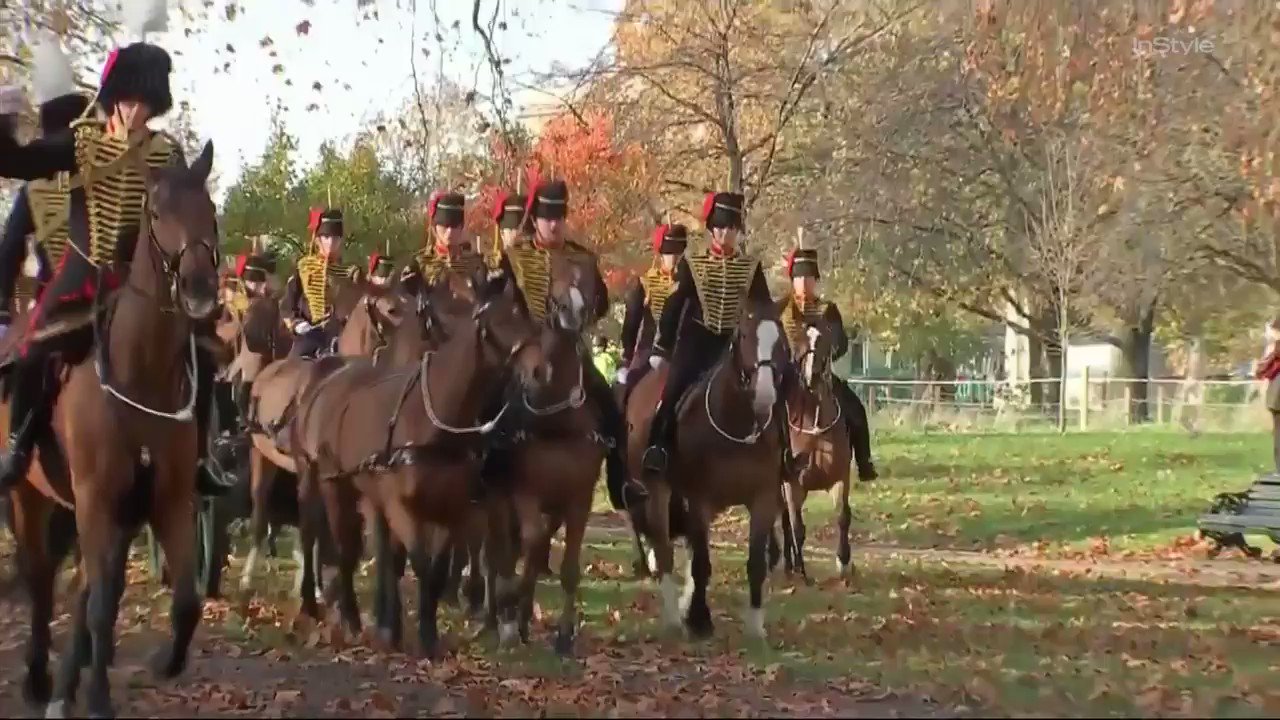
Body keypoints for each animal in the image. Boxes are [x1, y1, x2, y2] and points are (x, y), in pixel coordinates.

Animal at [15, 141, 222, 717]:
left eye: (211, 211)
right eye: (157, 211)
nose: (200, 290)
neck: (141, 374)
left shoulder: (164, 501)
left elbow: (185, 602)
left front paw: (163, 663)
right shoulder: (96, 500)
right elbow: (101, 606)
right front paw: (99, 699)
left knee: (83, 587)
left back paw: (64, 684)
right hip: (31, 498)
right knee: (42, 578)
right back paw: (41, 679)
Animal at [624, 299, 783, 635]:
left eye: (781, 341)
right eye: (745, 336)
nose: (765, 395)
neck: (736, 424)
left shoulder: (763, 498)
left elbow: (755, 562)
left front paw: (755, 624)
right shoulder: (700, 498)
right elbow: (701, 563)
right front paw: (699, 618)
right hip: (658, 489)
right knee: (664, 547)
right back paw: (674, 615)